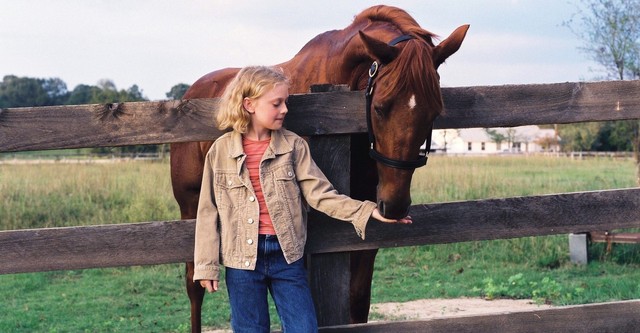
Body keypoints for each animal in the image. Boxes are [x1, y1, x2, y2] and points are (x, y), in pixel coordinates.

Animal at [172, 5, 468, 332]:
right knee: (194, 285)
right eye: (380, 107)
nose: (394, 206)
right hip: (191, 207)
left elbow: (357, 299)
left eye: (435, 112)